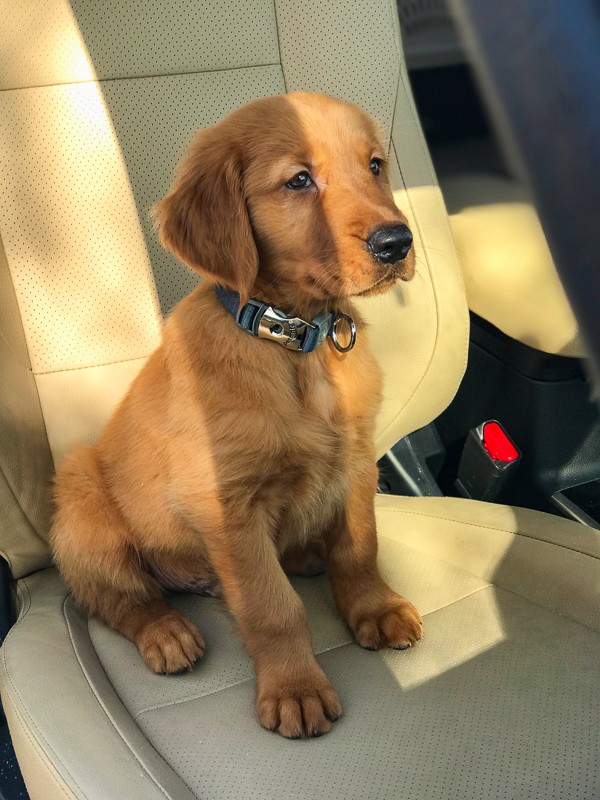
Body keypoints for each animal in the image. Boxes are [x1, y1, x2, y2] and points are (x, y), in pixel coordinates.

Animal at [51, 92, 422, 736]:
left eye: (375, 165)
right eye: (298, 180)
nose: (397, 242)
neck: (296, 342)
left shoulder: (357, 461)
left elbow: (360, 546)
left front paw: (375, 609)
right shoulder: (227, 504)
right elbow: (271, 606)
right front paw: (295, 688)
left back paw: (304, 555)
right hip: (81, 502)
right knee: (118, 599)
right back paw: (166, 632)